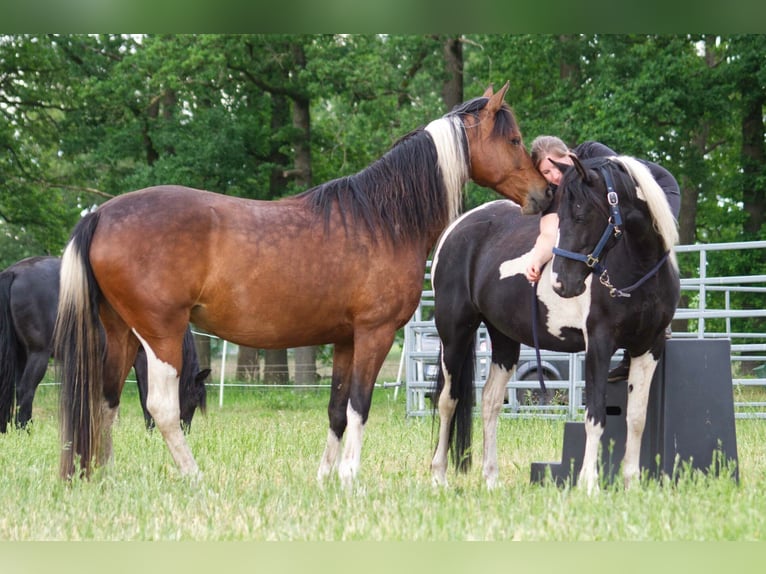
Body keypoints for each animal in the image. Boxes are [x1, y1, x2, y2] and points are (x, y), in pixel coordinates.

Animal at [0, 258, 210, 434]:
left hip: (22, 355)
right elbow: (145, 397)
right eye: (194, 399)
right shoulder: (143, 359)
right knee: (26, 390)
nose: (185, 431)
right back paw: (25, 430)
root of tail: (15, 271)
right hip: (38, 354)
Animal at [52, 83, 552, 484]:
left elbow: (336, 410)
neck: (381, 220)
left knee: (105, 401)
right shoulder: (374, 334)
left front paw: (325, 478)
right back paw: (194, 477)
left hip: (120, 332)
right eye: (513, 139)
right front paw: (351, 479)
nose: (544, 193)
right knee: (161, 408)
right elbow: (359, 406)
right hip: (160, 335)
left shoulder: (346, 340)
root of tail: (101, 214)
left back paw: (103, 476)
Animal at [436, 156, 680, 496]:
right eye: (559, 217)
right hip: (454, 333)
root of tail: (456, 228)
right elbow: (596, 415)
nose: (561, 282)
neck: (639, 269)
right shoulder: (599, 345)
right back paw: (438, 477)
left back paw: (491, 479)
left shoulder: (649, 347)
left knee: (490, 402)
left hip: (504, 340)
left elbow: (636, 418)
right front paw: (588, 484)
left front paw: (631, 483)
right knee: (448, 401)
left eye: (581, 214)